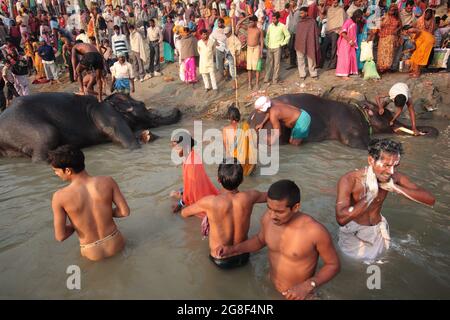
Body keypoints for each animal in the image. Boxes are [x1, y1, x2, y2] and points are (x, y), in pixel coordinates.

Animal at [248, 93, 438, 149]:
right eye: (389, 114)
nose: (428, 131)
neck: (360, 111)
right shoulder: (348, 125)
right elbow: (356, 143)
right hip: (272, 129)